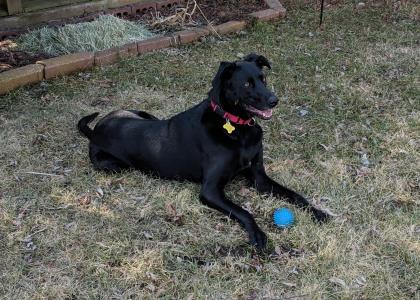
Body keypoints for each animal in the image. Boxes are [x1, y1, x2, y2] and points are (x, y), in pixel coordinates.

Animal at [78, 53, 328, 248]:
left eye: (263, 78)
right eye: (247, 84)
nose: (274, 100)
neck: (236, 127)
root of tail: (97, 127)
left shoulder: (259, 178)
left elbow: (294, 194)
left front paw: (317, 211)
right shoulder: (210, 190)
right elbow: (243, 211)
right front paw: (257, 233)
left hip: (144, 114)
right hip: (113, 165)